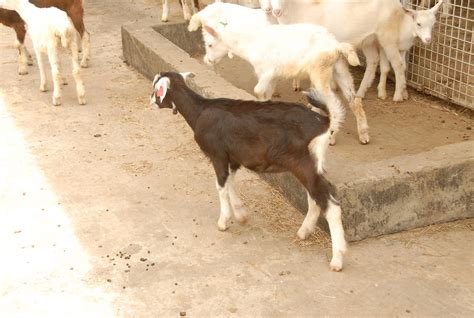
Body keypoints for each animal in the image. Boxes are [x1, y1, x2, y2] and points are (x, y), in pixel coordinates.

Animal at [152, 72, 348, 270]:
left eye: (156, 88)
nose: (151, 100)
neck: (199, 111)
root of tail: (325, 122)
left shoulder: (218, 155)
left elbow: (221, 185)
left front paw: (223, 221)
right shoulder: (233, 158)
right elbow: (229, 182)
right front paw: (240, 215)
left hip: (303, 165)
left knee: (330, 205)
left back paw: (337, 259)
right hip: (312, 165)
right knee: (315, 198)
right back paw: (304, 232)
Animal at [189, 3, 370, 145]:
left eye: (210, 44)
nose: (207, 60)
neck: (250, 42)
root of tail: (336, 46)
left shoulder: (265, 71)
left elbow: (258, 91)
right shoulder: (272, 76)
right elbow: (267, 94)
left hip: (320, 72)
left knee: (335, 105)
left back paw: (331, 136)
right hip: (340, 70)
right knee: (354, 101)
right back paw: (364, 134)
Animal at [262, 0, 446, 102]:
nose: (275, 11)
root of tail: (397, 6)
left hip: (387, 37)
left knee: (398, 65)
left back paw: (398, 96)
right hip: (370, 39)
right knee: (373, 61)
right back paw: (361, 93)